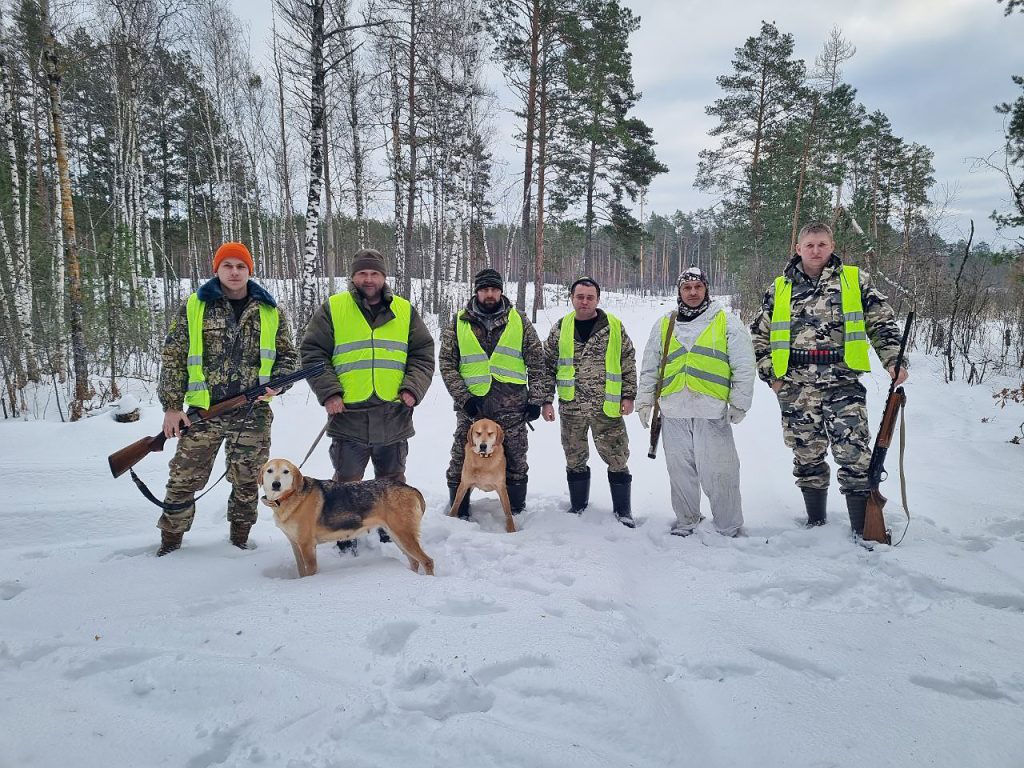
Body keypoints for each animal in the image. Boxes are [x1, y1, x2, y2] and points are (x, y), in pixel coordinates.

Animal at [260, 456, 432, 577]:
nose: (276, 484)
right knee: (415, 561)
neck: (288, 497)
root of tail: (411, 488)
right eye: (269, 471)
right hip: (397, 535)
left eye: (286, 471)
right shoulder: (296, 544)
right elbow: (301, 571)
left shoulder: (307, 545)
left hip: (404, 535)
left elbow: (310, 571)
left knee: (427, 561)